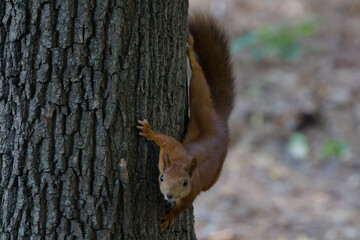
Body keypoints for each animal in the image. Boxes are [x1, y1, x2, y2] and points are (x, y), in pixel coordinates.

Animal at [136, 14, 233, 231]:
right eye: (162, 177)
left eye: (185, 183)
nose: (169, 195)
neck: (182, 161)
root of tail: (221, 120)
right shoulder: (174, 150)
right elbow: (166, 139)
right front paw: (149, 131)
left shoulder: (194, 190)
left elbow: (183, 206)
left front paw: (170, 216)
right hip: (202, 106)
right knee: (198, 76)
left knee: (198, 73)